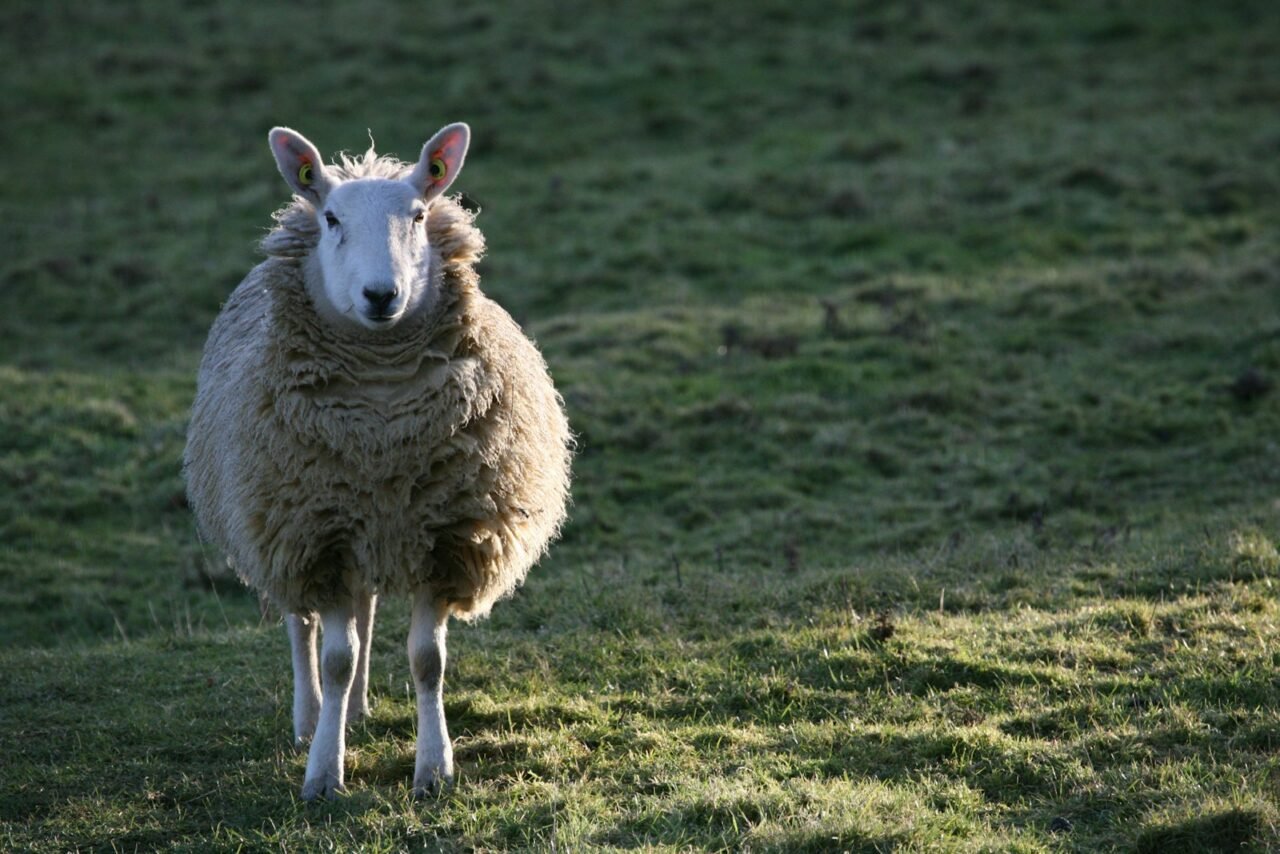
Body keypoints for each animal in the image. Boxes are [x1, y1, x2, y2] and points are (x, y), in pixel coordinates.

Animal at [183, 123, 572, 801]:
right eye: (332, 218)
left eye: (417, 215)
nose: (381, 294)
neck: (383, 419)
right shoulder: (319, 535)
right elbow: (333, 658)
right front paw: (323, 772)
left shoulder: (445, 536)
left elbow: (427, 661)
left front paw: (434, 768)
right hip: (282, 522)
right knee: (303, 626)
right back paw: (311, 717)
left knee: (363, 615)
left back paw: (359, 710)